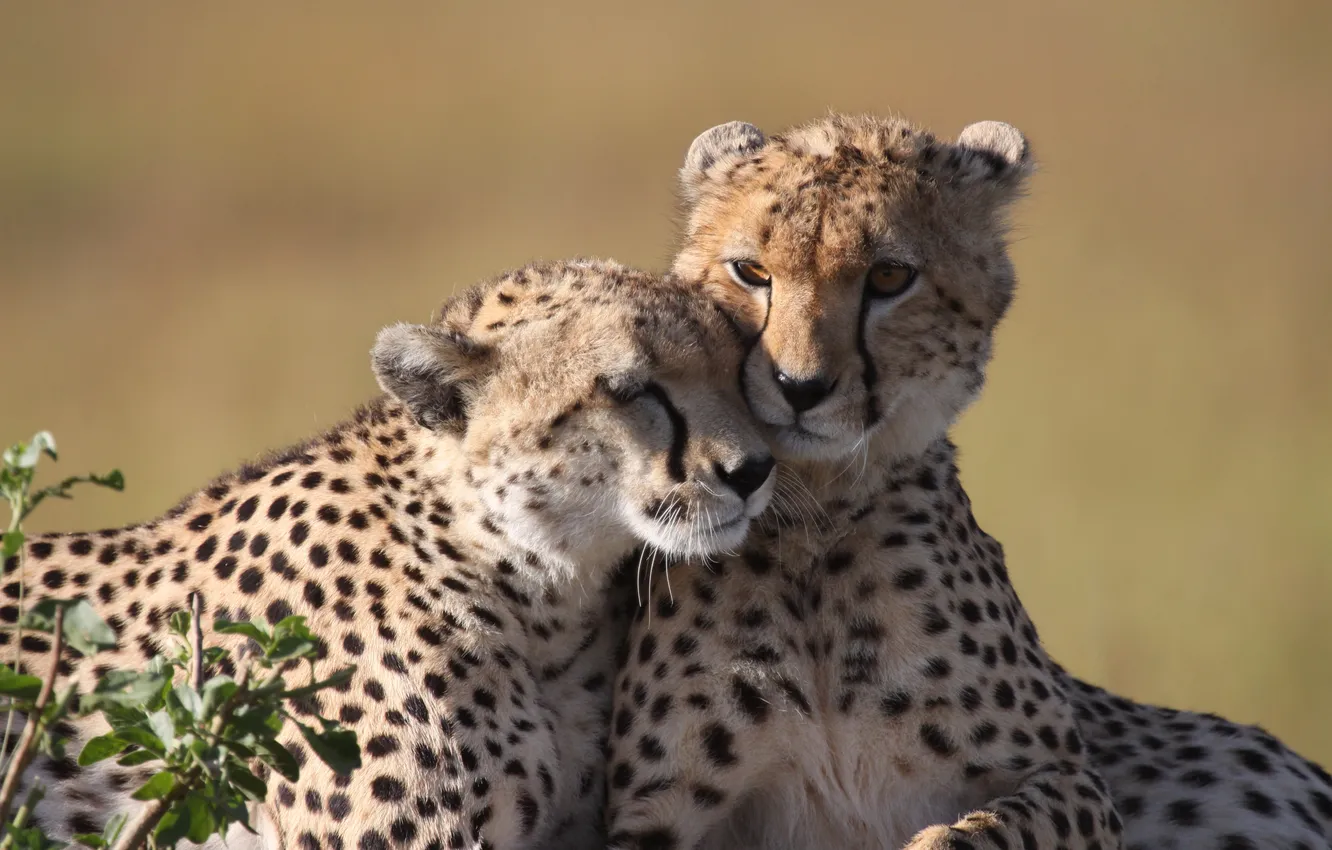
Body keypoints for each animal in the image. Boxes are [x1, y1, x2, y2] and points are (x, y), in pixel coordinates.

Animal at [605, 112, 1331, 850]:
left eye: (889, 276)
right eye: (751, 271)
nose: (799, 386)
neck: (816, 517)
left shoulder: (1073, 778)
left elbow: (992, 826)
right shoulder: (652, 819)